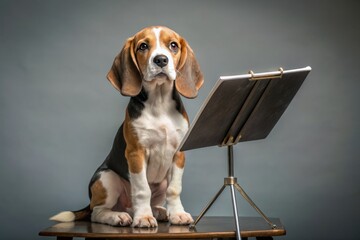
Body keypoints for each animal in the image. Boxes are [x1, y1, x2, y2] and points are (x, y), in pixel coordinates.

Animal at [50, 26, 202, 227]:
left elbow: (174, 189)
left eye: (173, 45)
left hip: (158, 183)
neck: (159, 101)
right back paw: (118, 216)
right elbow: (142, 190)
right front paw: (143, 217)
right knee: (97, 212)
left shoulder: (179, 153)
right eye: (143, 46)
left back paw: (159, 211)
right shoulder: (135, 153)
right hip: (106, 178)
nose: (161, 59)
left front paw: (177, 214)